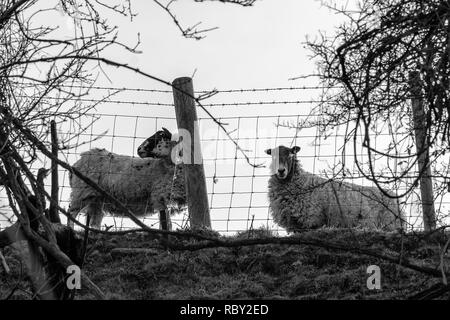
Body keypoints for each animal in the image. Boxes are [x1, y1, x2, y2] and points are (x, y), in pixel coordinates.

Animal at [266, 145, 402, 232]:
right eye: (273, 157)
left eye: (290, 155)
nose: (281, 171)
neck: (301, 182)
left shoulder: (312, 221)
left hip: (389, 224)